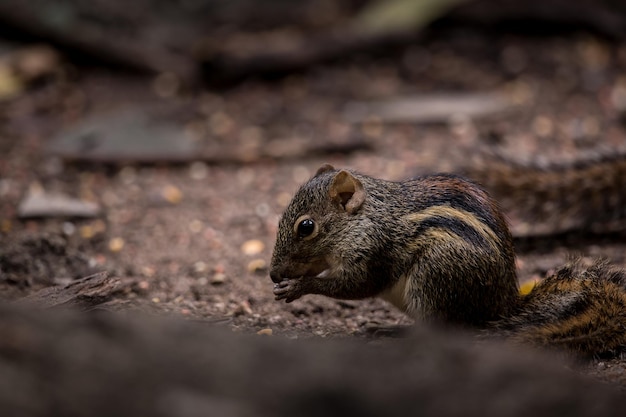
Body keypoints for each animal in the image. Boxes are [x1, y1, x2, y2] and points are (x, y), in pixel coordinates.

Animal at [270, 164, 624, 356]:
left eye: (306, 226)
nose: (273, 274)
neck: (365, 219)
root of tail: (503, 308)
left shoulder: (374, 252)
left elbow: (357, 286)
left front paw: (298, 286)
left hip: (435, 276)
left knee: (443, 332)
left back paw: (392, 333)